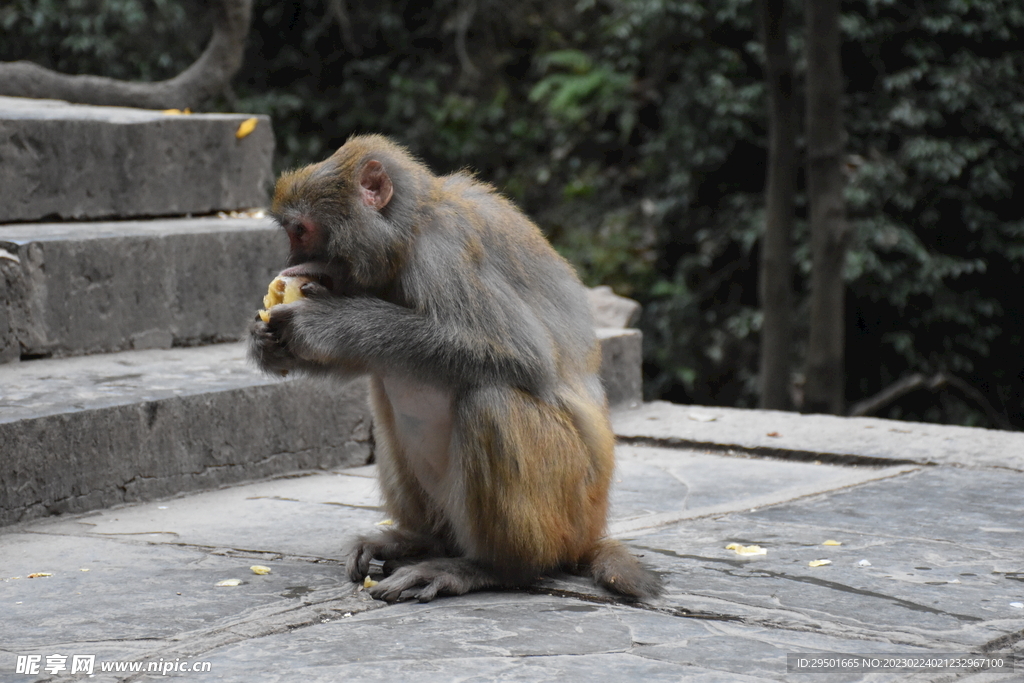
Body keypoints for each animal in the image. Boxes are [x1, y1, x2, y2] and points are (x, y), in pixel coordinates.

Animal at [248, 135, 663, 602]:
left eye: (300, 230)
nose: (290, 261)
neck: (408, 234)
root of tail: (590, 533)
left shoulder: (443, 253)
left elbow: (523, 355)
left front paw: (322, 323)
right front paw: (265, 344)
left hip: (567, 505)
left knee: (491, 401)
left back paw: (490, 568)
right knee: (385, 393)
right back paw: (419, 541)